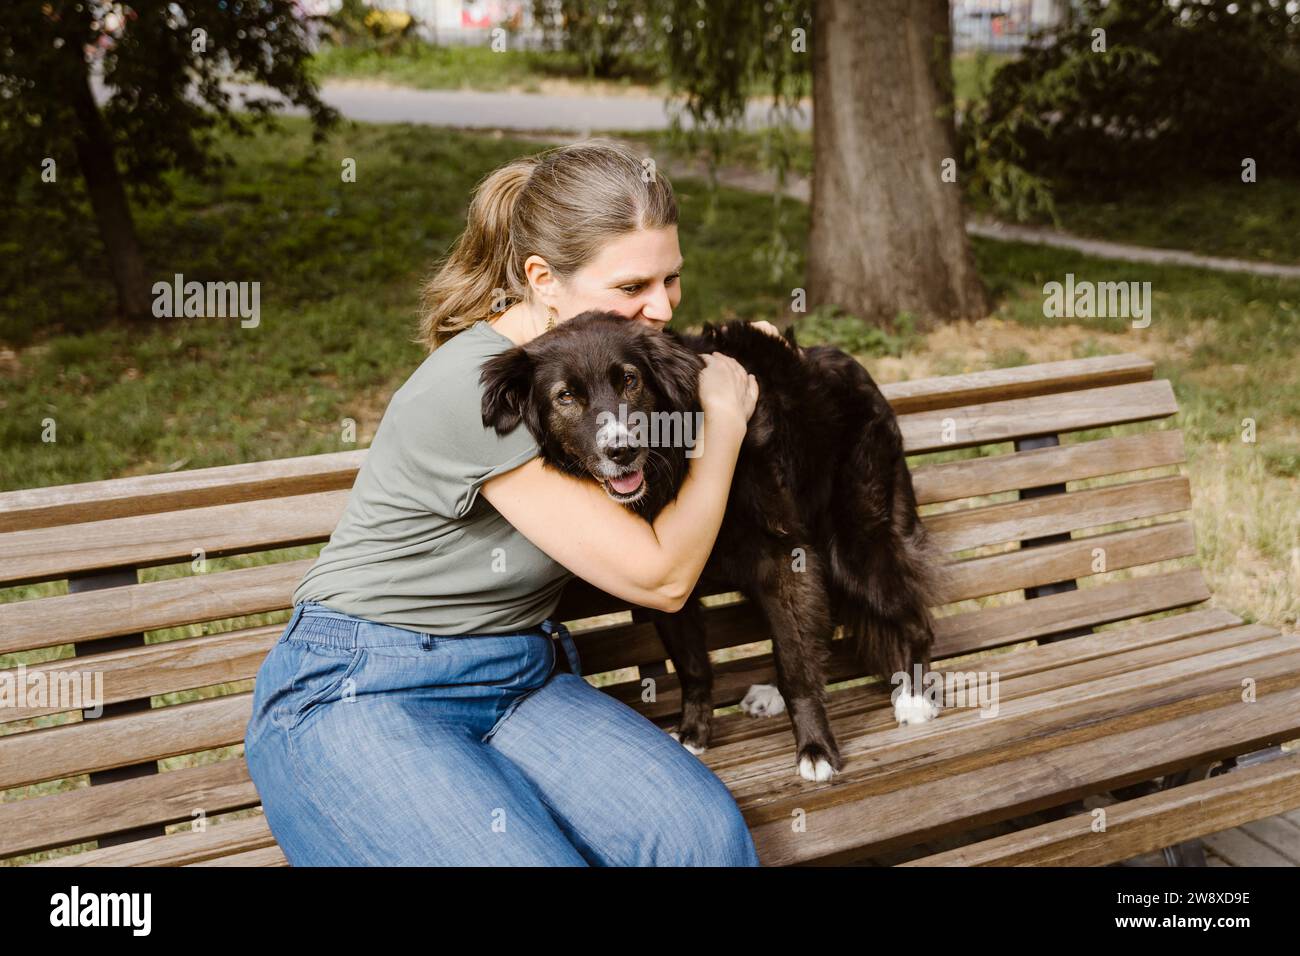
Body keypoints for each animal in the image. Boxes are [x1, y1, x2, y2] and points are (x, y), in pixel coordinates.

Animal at [483, 310, 941, 780]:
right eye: (566, 396)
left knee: (915, 618)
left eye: (629, 379)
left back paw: (914, 698)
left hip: (854, 545)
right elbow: (694, 665)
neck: (678, 458)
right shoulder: (671, 580)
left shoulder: (784, 555)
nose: (621, 451)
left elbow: (795, 664)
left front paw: (815, 748)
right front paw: (694, 731)